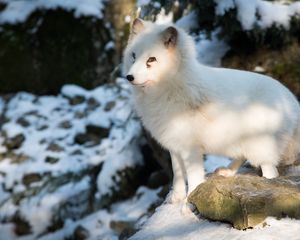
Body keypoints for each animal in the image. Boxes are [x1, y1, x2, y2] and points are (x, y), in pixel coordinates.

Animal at [122, 18, 300, 202]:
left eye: (151, 59)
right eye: (133, 56)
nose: (129, 77)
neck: (170, 87)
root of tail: (292, 100)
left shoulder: (191, 149)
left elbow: (193, 178)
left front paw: (189, 201)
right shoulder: (174, 145)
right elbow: (178, 177)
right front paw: (176, 199)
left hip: (261, 146)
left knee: (271, 172)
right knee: (242, 156)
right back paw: (227, 172)